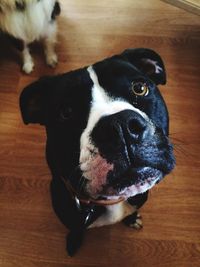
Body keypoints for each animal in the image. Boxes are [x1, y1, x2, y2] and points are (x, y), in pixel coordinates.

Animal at [19, 48, 175, 258]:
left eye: (139, 88)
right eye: (66, 112)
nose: (120, 126)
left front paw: (132, 218)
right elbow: (76, 229)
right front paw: (74, 242)